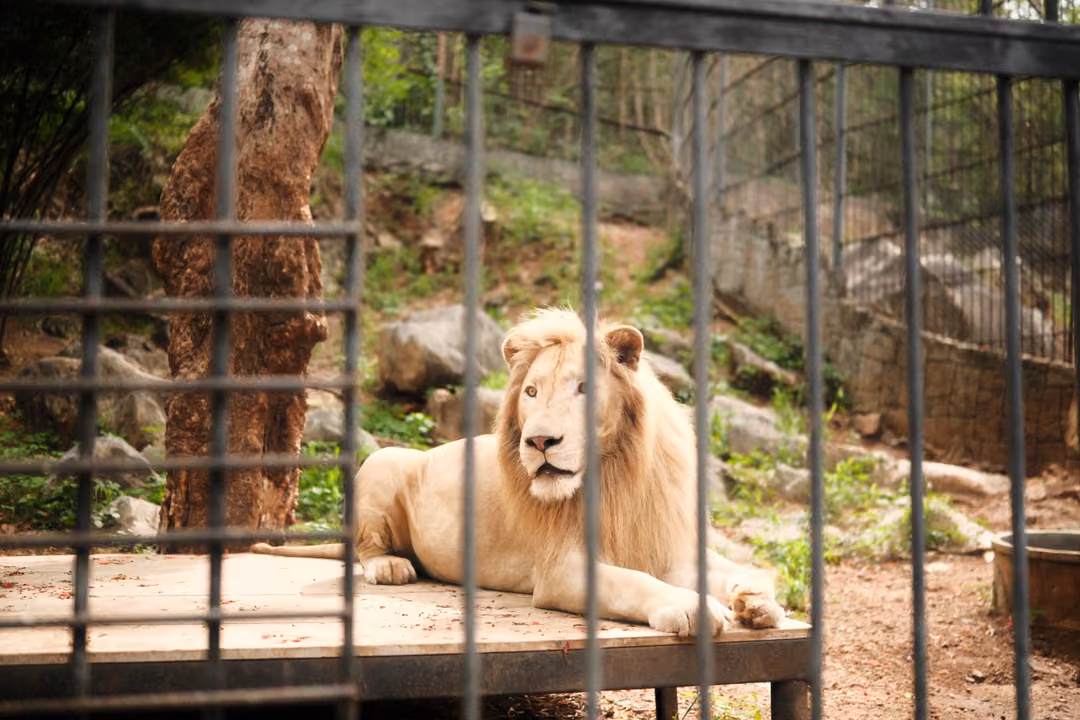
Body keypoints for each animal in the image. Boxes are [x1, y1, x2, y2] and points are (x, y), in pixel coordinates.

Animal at [254, 309, 784, 636]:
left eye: (583, 388)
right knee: (366, 546)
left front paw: (755, 600)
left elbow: (729, 568)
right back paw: (391, 565)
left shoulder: (663, 544)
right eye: (530, 392)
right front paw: (692, 607)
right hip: (384, 462)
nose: (540, 441)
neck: (614, 474)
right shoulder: (560, 570)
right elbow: (636, 583)